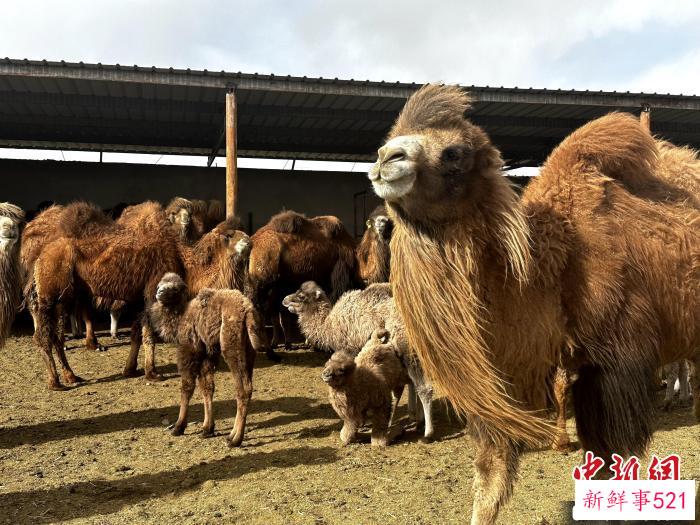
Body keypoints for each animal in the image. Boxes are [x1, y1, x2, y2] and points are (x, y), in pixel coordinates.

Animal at [148, 272, 268, 448]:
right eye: (160, 284)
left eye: (175, 288)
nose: (160, 292)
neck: (181, 315)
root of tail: (248, 312)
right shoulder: (207, 354)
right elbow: (207, 387)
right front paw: (207, 429)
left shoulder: (189, 349)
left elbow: (187, 387)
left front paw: (178, 427)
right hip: (249, 352)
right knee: (246, 386)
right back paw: (232, 435)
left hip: (231, 347)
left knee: (242, 389)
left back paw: (235, 440)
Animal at [370, 84, 696, 520]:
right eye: (390, 138)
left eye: (454, 152)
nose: (386, 160)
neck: (551, 265)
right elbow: (490, 477)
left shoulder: (616, 365)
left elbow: (613, 464)